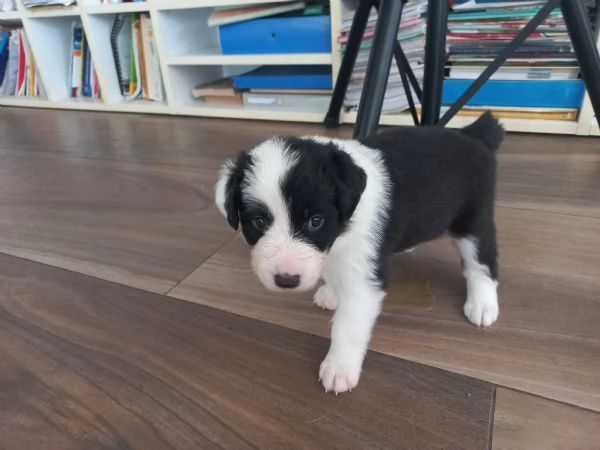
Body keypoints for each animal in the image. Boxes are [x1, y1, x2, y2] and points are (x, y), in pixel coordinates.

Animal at [213, 112, 504, 394]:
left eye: (315, 221)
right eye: (259, 221)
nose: (286, 280)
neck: (342, 230)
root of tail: (472, 134)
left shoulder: (364, 280)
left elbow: (348, 327)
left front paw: (339, 368)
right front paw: (332, 293)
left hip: (474, 220)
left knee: (482, 263)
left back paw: (482, 304)